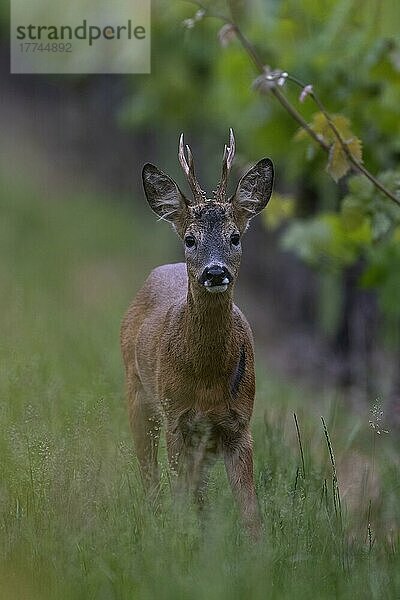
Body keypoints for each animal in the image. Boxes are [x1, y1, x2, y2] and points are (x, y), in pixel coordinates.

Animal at [120, 131, 274, 536]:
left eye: (235, 237)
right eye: (190, 239)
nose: (215, 271)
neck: (207, 380)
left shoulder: (238, 423)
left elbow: (251, 511)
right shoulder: (177, 417)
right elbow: (179, 493)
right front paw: (178, 537)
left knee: (197, 489)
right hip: (137, 393)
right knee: (150, 474)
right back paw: (156, 520)